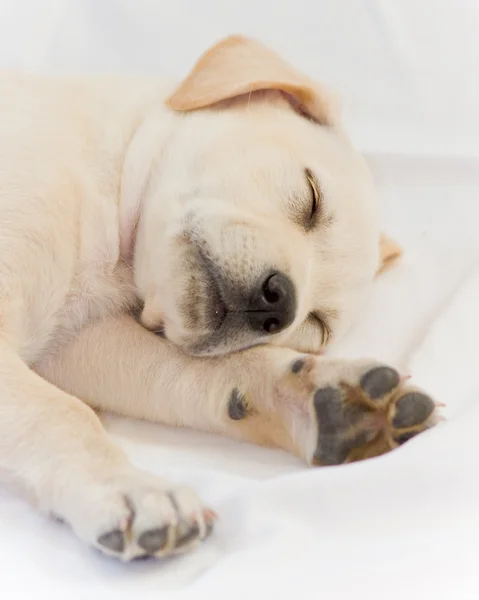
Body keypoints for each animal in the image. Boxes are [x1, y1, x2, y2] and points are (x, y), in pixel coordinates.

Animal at [0, 36, 436, 564]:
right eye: (312, 197)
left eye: (316, 325)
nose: (278, 304)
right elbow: (57, 410)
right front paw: (128, 490)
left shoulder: (77, 342)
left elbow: (191, 372)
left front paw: (320, 397)